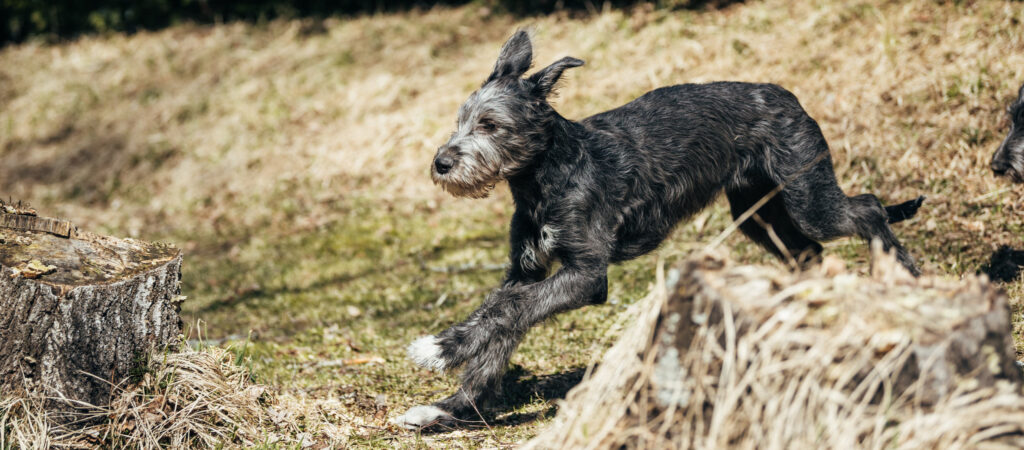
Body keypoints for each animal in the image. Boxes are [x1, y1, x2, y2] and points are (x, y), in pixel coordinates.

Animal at [391, 30, 921, 430]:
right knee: (809, 253)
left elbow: (511, 312)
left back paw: (902, 274)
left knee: (868, 209)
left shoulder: (586, 274)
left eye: (490, 124)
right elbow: (501, 320)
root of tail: (784, 93)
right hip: (758, 215)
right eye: (460, 121)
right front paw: (452, 408)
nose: (441, 164)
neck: (546, 176)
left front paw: (439, 350)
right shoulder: (526, 270)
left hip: (808, 196)